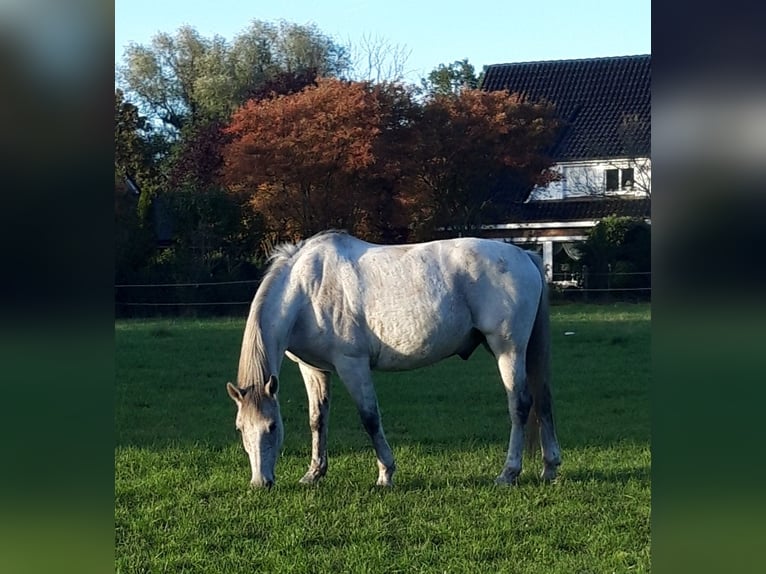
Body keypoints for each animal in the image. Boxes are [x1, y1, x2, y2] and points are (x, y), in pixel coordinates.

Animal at [225, 232, 560, 488]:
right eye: (240, 428)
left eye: (272, 427)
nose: (260, 483)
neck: (308, 289)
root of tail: (522, 254)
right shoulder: (313, 368)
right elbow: (317, 419)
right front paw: (314, 474)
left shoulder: (352, 364)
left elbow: (370, 418)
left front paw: (386, 474)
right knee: (543, 400)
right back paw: (550, 467)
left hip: (508, 349)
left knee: (520, 405)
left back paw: (509, 473)